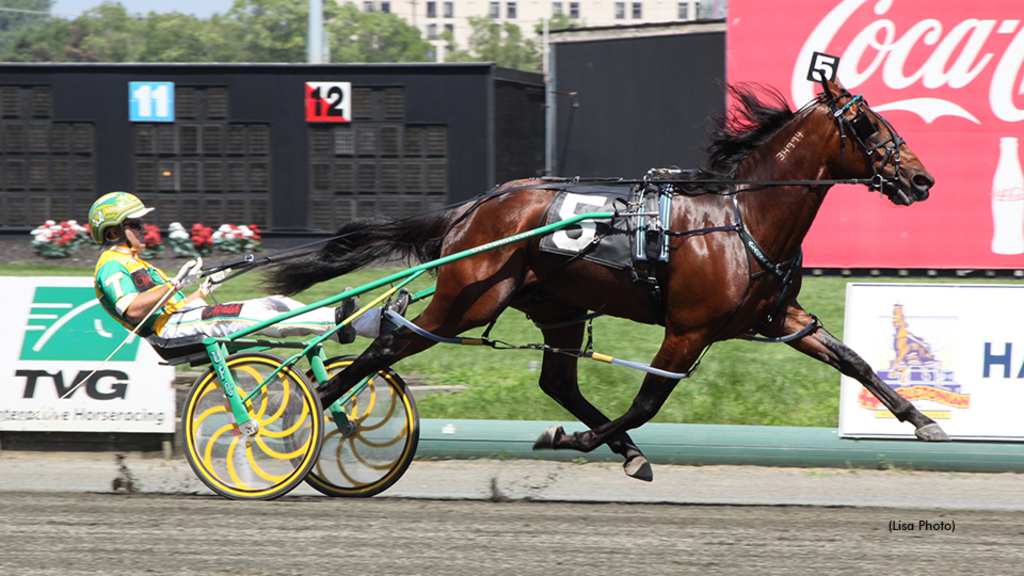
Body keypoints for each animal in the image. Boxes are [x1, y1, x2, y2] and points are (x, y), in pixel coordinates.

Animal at [266, 77, 942, 479]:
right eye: (869, 125)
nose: (921, 179)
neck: (740, 218)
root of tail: (473, 208)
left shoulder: (780, 318)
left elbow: (852, 359)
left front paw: (921, 419)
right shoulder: (687, 330)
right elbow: (646, 402)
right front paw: (573, 442)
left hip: (555, 307)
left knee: (557, 381)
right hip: (466, 299)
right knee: (389, 341)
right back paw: (310, 405)